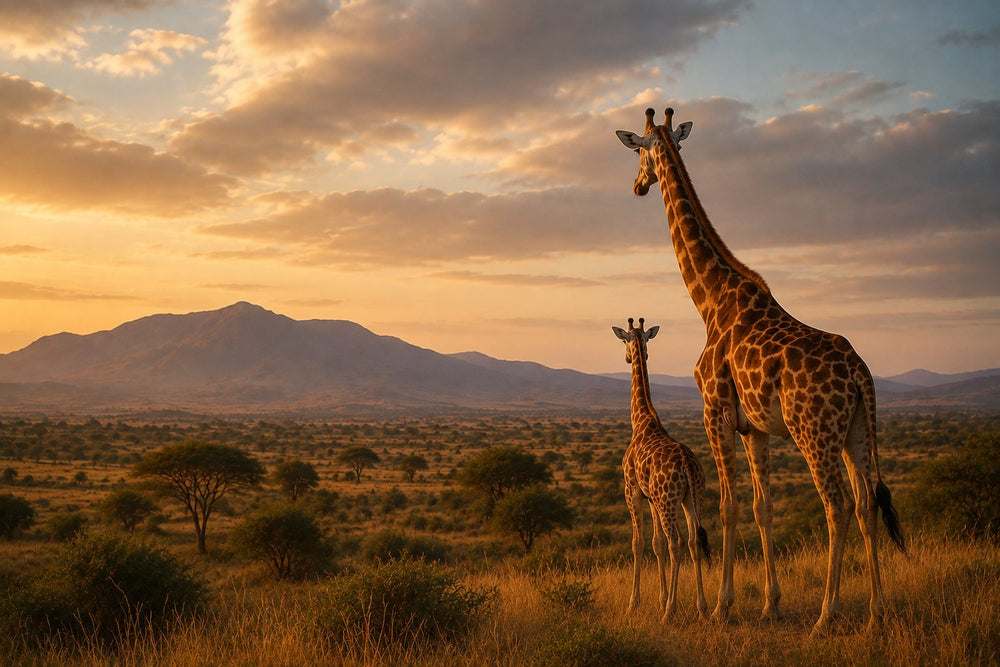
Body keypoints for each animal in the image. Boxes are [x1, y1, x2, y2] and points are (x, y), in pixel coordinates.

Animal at [612, 317, 711, 622]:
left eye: (625, 341)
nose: (631, 356)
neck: (642, 420)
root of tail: (687, 464)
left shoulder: (632, 491)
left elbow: (639, 543)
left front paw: (635, 603)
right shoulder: (652, 498)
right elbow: (657, 545)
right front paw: (660, 597)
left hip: (669, 501)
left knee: (676, 542)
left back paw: (670, 611)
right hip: (693, 498)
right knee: (693, 541)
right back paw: (703, 607)